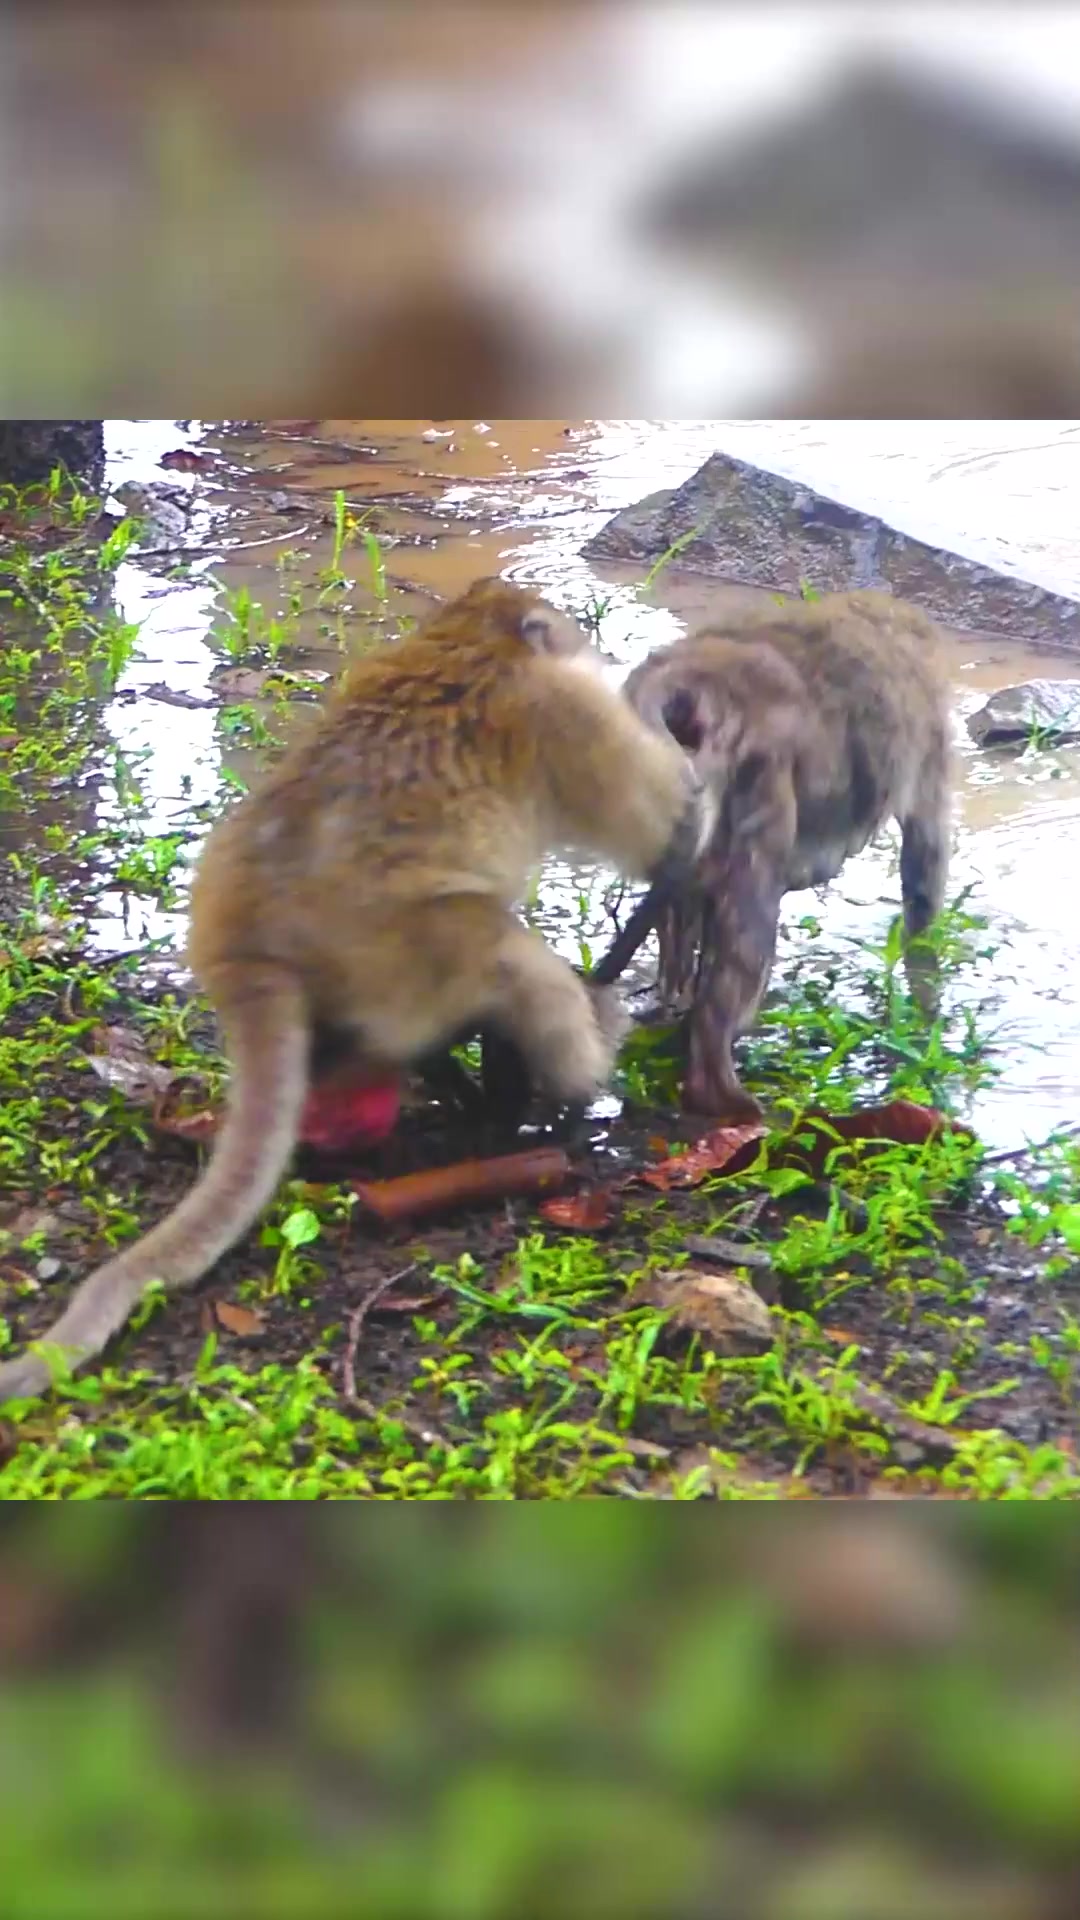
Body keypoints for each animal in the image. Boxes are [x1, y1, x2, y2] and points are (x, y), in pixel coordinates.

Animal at [0, 577, 714, 1402]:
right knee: (498, 948)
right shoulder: (566, 714)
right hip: (401, 956)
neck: (470, 638)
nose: (585, 645)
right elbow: (664, 828)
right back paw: (567, 1091)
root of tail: (246, 943)